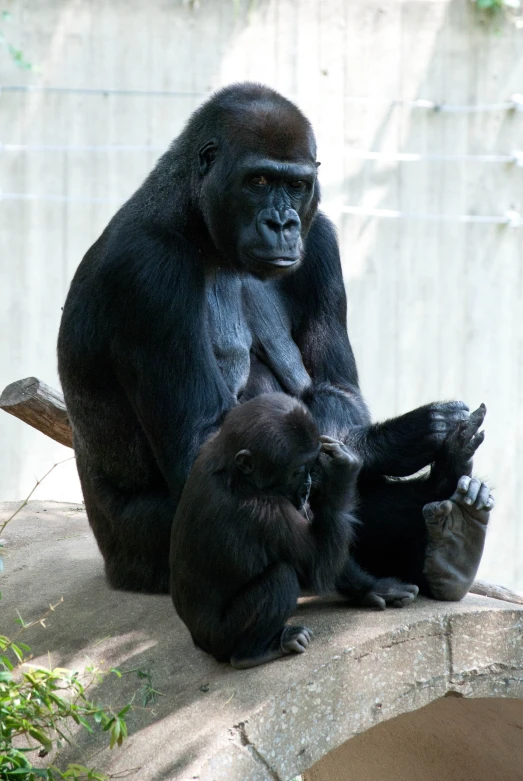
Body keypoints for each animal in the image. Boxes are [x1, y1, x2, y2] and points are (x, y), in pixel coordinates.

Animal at [57, 82, 492, 596]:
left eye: (296, 186)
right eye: (259, 181)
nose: (282, 224)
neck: (195, 218)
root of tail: (112, 567)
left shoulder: (320, 238)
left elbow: (337, 390)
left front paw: (398, 445)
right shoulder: (149, 272)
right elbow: (202, 447)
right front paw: (407, 435)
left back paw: (447, 519)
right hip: (139, 559)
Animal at [170, 394, 420, 668]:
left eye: (310, 466)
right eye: (297, 470)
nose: (308, 485)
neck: (235, 473)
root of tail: (199, 642)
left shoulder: (207, 447)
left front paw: (374, 588)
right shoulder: (267, 509)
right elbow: (317, 565)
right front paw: (342, 472)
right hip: (222, 639)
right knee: (282, 578)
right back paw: (253, 652)